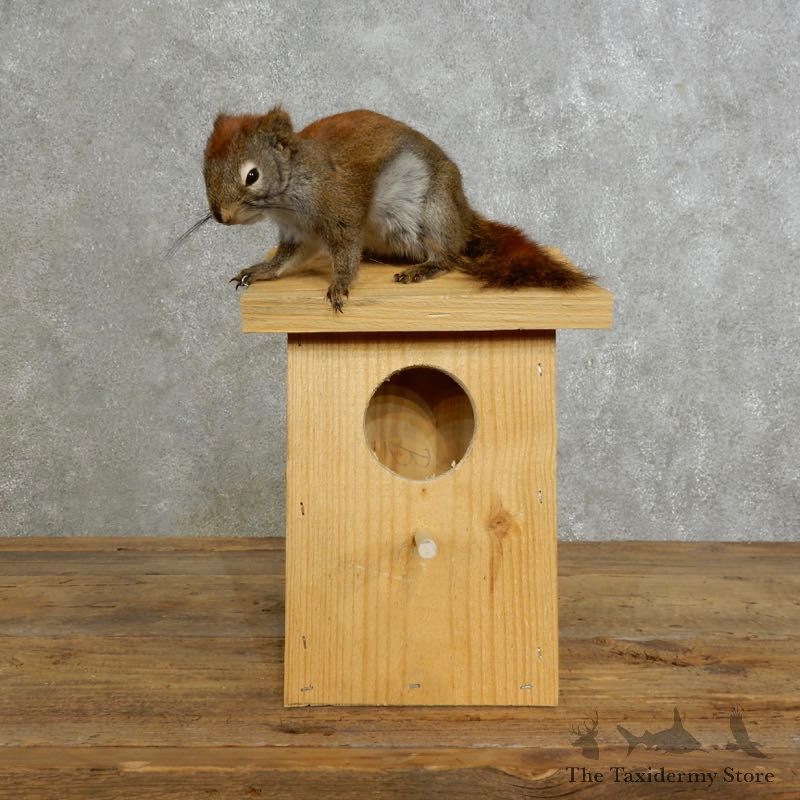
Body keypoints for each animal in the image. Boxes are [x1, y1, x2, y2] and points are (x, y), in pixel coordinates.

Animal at [203, 107, 594, 311]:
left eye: (252, 175)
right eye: (204, 169)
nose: (222, 216)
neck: (288, 199)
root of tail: (463, 216)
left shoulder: (342, 211)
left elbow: (345, 254)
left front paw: (340, 284)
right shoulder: (297, 234)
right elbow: (286, 259)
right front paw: (260, 270)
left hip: (435, 211)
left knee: (448, 256)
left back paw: (423, 268)